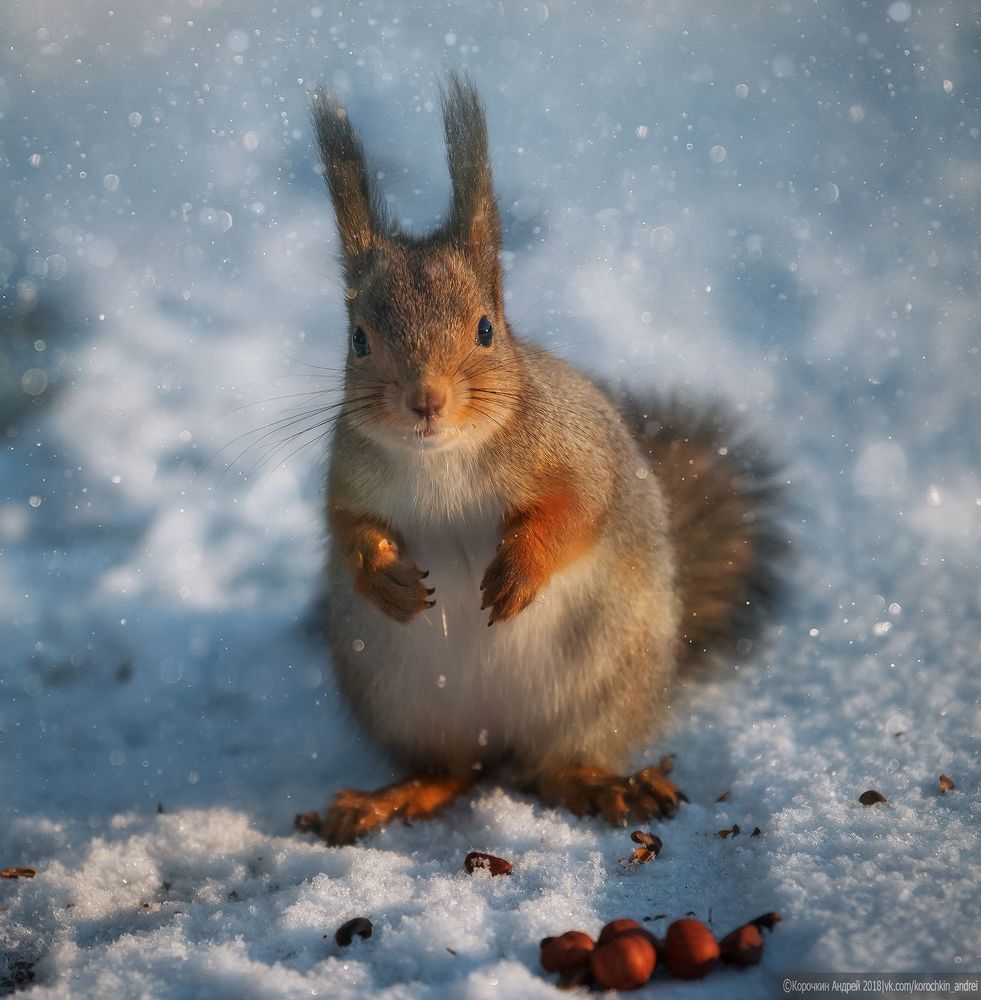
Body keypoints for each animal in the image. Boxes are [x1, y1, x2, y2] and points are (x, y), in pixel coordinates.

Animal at [298, 74, 786, 846]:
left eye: (486, 329)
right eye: (358, 339)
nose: (424, 400)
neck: (442, 459)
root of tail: (498, 735)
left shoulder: (579, 455)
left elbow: (575, 511)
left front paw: (518, 572)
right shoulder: (349, 477)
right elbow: (347, 527)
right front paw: (385, 578)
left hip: (600, 680)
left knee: (550, 769)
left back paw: (605, 786)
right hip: (403, 699)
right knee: (452, 771)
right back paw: (390, 797)